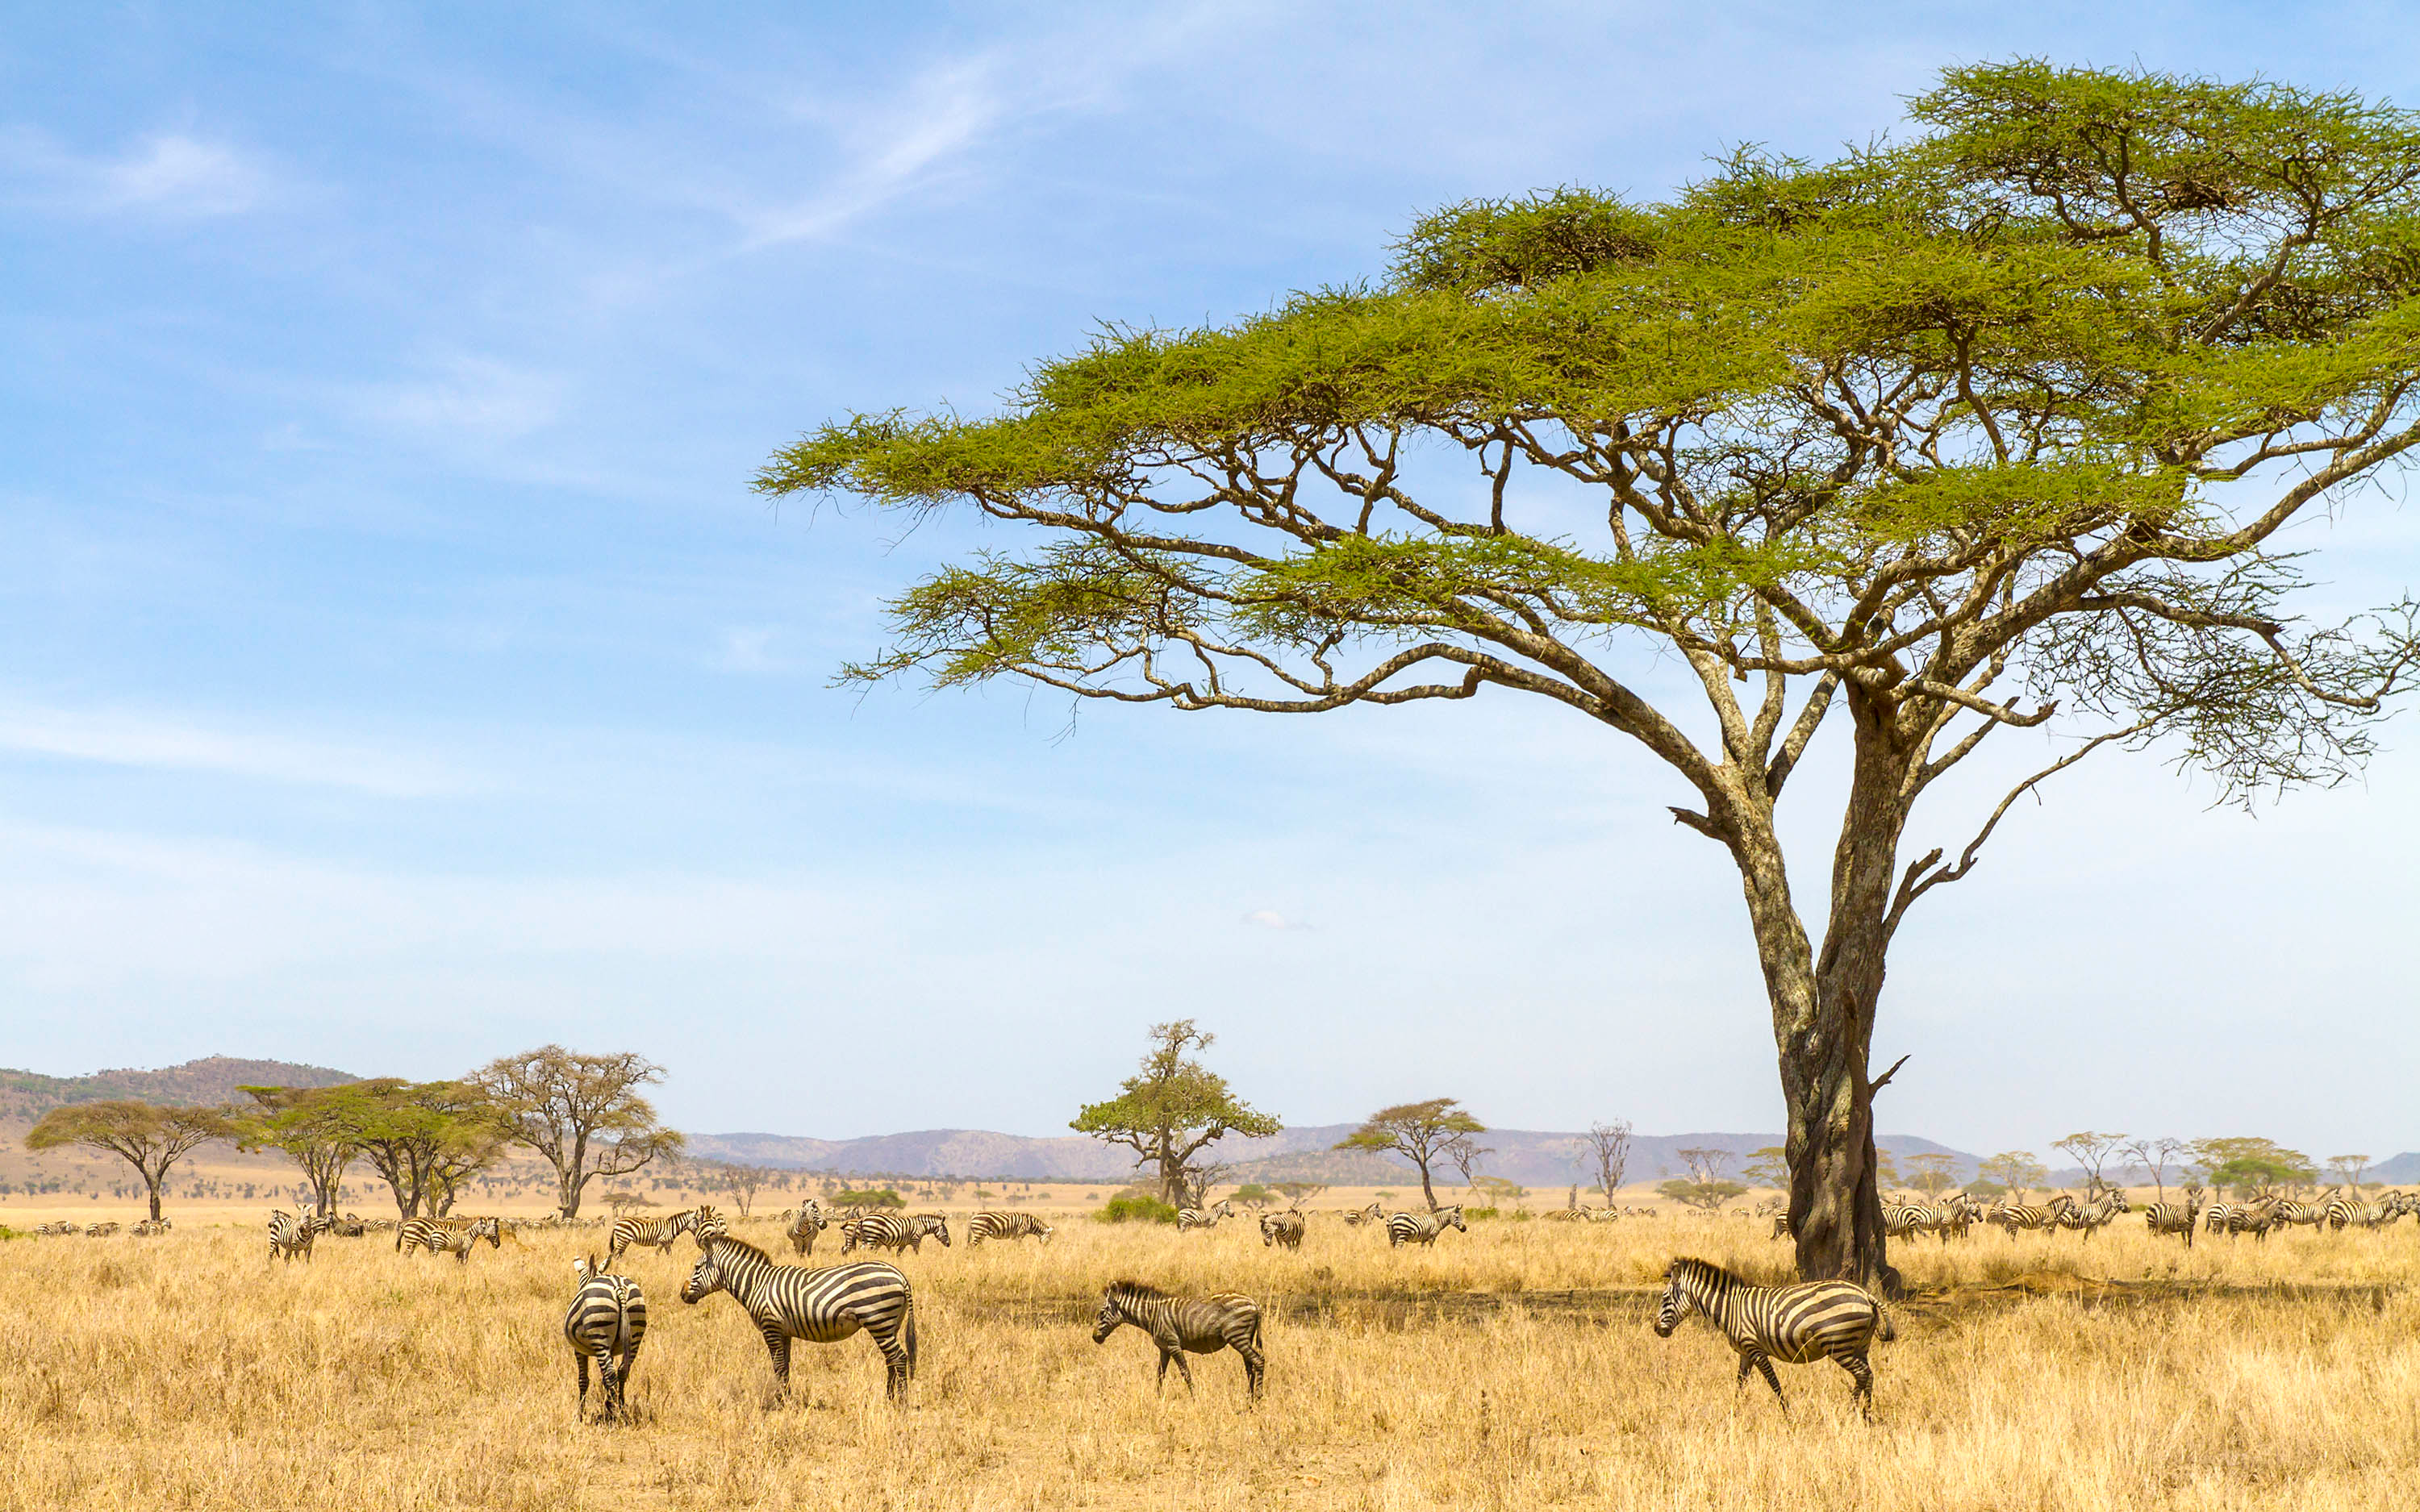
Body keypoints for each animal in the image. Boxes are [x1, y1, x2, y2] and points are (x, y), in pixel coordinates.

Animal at [397, 1214, 501, 1258]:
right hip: (412, 1240)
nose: (498, 1245)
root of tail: (406, 1223)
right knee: (406, 1255)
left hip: (414, 1242)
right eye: (496, 1230)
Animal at [561, 1258, 649, 1422]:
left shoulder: (579, 1350)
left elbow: (583, 1380)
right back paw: (620, 1407)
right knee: (622, 1371)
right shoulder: (612, 1350)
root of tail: (619, 1286)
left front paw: (581, 1415)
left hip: (599, 1332)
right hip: (635, 1331)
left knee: (610, 1374)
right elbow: (604, 1379)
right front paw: (607, 1404)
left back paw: (615, 1414)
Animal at [682, 1234, 915, 1393]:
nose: (682, 1294)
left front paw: (780, 1401)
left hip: (879, 1321)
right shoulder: (784, 1332)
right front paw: (787, 1397)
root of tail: (899, 1275)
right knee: (891, 1359)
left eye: (696, 1267)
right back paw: (888, 1398)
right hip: (891, 1325)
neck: (756, 1284)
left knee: (899, 1358)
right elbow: (785, 1366)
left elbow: (777, 1366)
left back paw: (900, 1402)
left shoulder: (770, 1327)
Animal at [1084, 1277, 1258, 1393]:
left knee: (1258, 1361)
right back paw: (1250, 1399)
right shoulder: (1164, 1348)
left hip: (1237, 1336)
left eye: (1101, 1313)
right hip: (1244, 1338)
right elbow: (1160, 1374)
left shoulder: (1173, 1345)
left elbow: (1185, 1372)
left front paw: (1194, 1398)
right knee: (1250, 1367)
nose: (1095, 1337)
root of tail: (1255, 1304)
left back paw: (1258, 1397)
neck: (1152, 1315)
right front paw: (1157, 1398)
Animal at [1655, 1248, 1897, 1413]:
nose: (1657, 1329)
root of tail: (1866, 1294)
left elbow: (1774, 1383)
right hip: (1860, 1345)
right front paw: (1735, 1411)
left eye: (1665, 1298)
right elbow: (1740, 1383)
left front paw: (1787, 1413)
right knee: (1869, 1375)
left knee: (1863, 1374)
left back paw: (1852, 1409)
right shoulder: (1745, 1353)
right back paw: (1867, 1415)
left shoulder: (1755, 1349)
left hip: (1839, 1345)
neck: (1730, 1308)